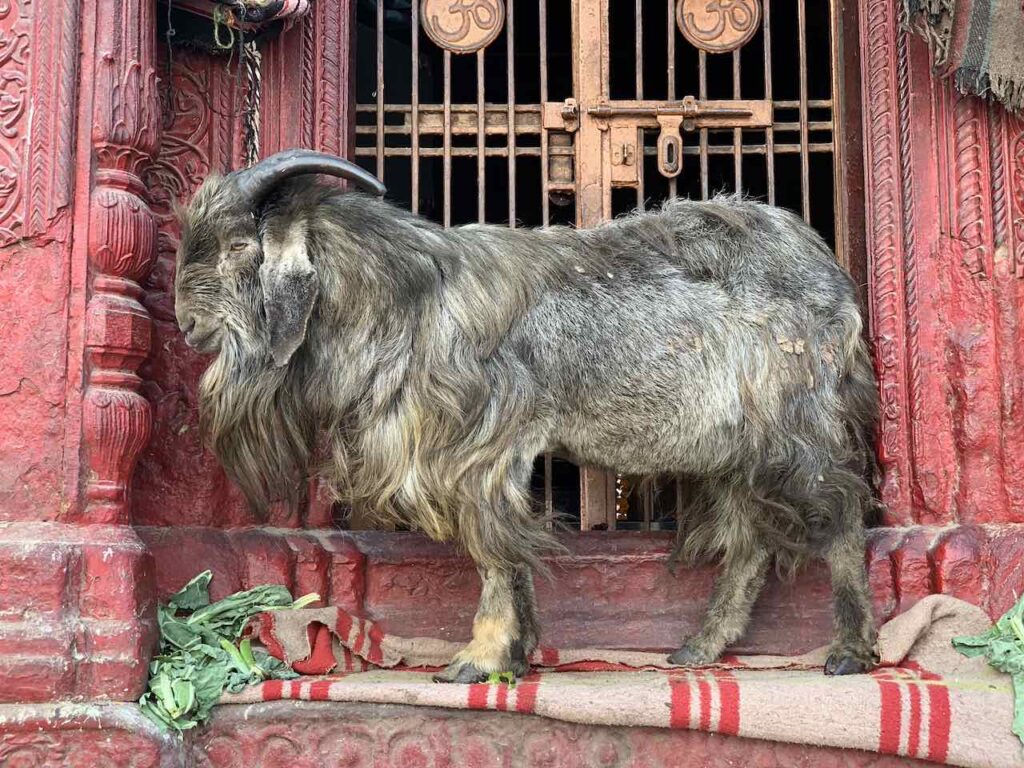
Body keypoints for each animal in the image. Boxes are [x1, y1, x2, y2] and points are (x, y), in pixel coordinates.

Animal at [174, 149, 880, 683]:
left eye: (238, 244)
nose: (185, 323)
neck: (411, 298)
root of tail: (829, 270)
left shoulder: (480, 452)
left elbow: (494, 552)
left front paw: (475, 659)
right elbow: (511, 557)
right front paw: (516, 655)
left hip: (796, 423)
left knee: (843, 511)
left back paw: (850, 650)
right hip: (733, 448)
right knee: (752, 538)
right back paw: (699, 647)